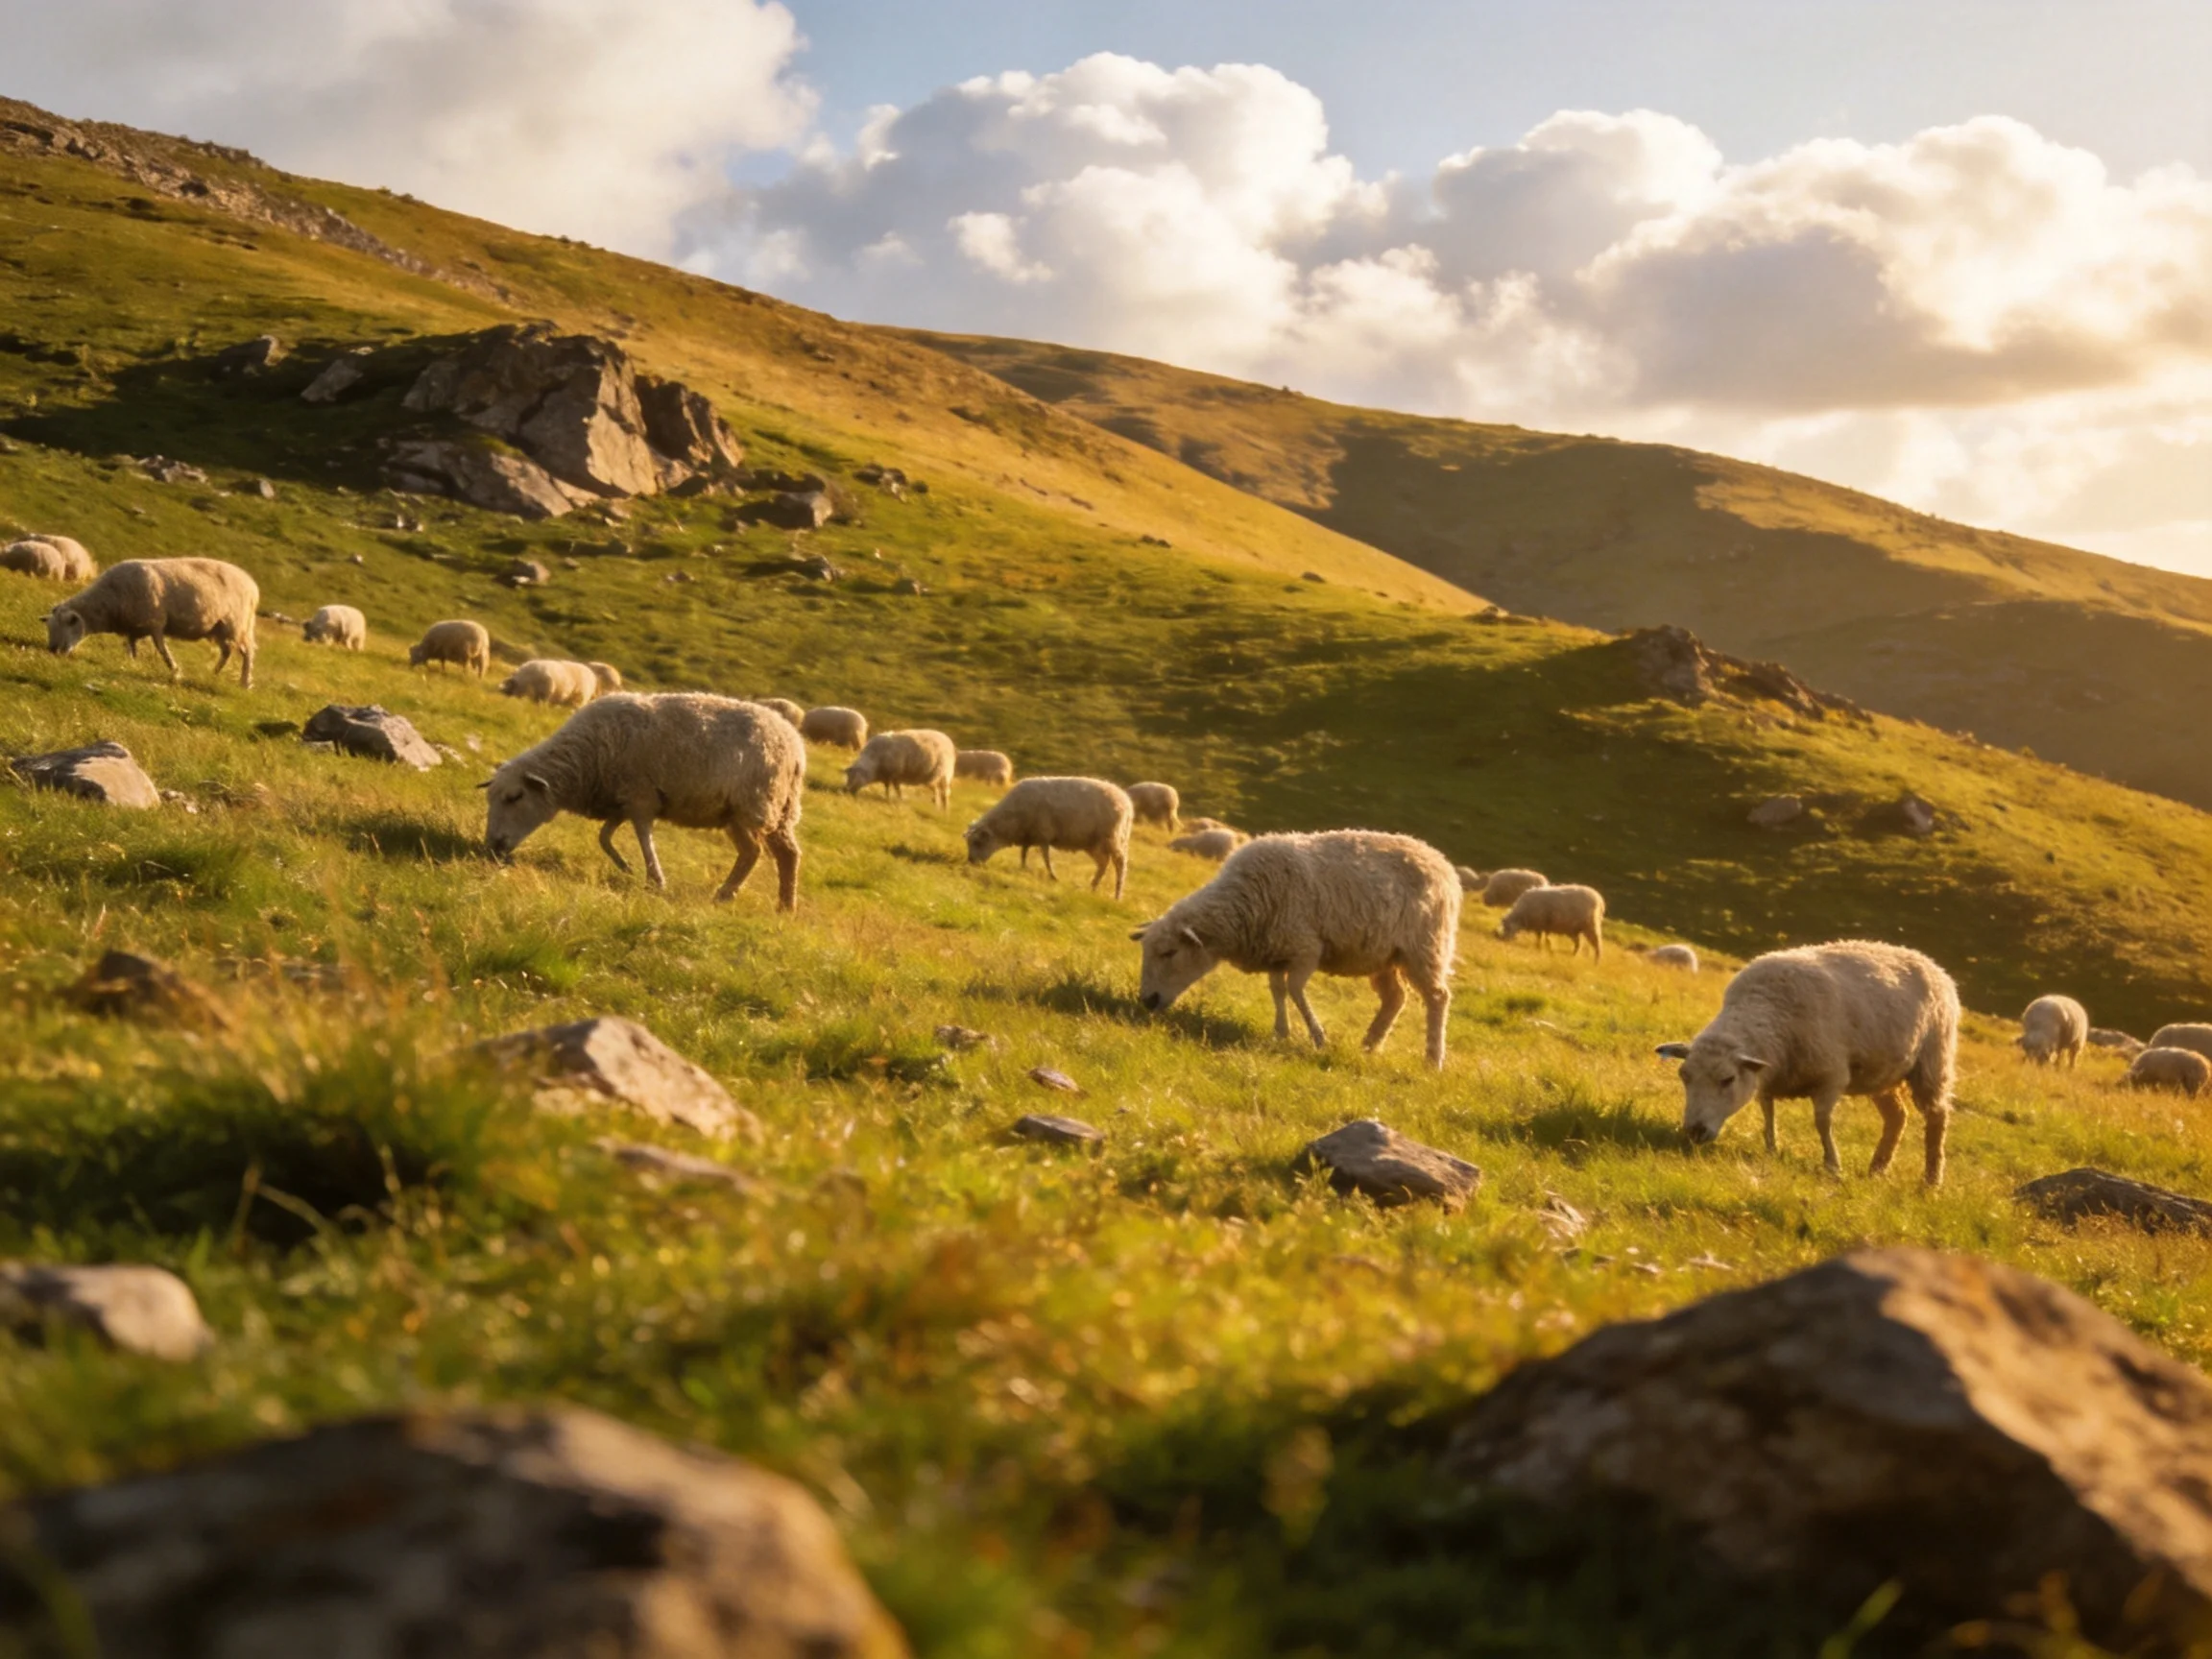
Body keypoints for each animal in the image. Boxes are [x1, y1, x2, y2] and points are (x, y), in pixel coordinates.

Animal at [46, 557, 259, 688]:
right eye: (49, 628)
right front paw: (131, 662)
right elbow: (131, 646)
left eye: (67, 625)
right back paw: (214, 673)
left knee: (247, 653)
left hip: (237, 625)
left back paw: (245, 682)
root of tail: (252, 584)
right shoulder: (133, 627)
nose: (53, 650)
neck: (109, 601)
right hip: (220, 628)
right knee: (227, 652)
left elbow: (161, 649)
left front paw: (175, 670)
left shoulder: (155, 621)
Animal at [482, 692, 803, 910]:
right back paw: (785, 907)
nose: (492, 847)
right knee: (787, 854)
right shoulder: (621, 801)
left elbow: (643, 838)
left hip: (750, 806)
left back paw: (726, 894)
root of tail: (795, 745)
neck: (586, 758)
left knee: (753, 852)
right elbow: (604, 837)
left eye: (515, 797)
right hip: (775, 811)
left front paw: (655, 880)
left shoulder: (641, 797)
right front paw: (626, 867)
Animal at [964, 777, 1132, 898]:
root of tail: (1126, 802)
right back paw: (1093, 887)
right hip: (1093, 843)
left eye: (978, 842)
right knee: (1103, 864)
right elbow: (1024, 852)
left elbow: (1045, 858)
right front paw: (1023, 868)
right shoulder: (1030, 834)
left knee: (1120, 865)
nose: (970, 861)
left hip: (1113, 839)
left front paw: (1052, 877)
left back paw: (1117, 895)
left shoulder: (1043, 833)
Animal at [1131, 830, 1461, 1070]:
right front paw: (1281, 1032)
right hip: (1383, 955)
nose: (1147, 1001)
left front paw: (1317, 1036)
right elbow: (1278, 989)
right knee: (1395, 997)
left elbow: (1294, 990)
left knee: (1438, 998)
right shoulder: (1278, 951)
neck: (1244, 903)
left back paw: (1433, 1059)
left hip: (1425, 948)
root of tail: (1441, 861)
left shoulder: (1306, 948)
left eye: (1169, 953)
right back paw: (1369, 1045)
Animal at [1659, 939, 1958, 1186]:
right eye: (1684, 1076)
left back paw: (1931, 1180)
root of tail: (1931, 963)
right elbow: (1767, 1113)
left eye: (1727, 1079)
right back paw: (1877, 1169)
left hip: (1932, 1063)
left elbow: (1822, 1121)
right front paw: (1771, 1150)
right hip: (1882, 1074)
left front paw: (1833, 1166)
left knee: (1937, 1117)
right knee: (1897, 1117)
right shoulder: (1765, 1077)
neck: (1767, 1008)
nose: (1695, 1131)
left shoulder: (1832, 1076)